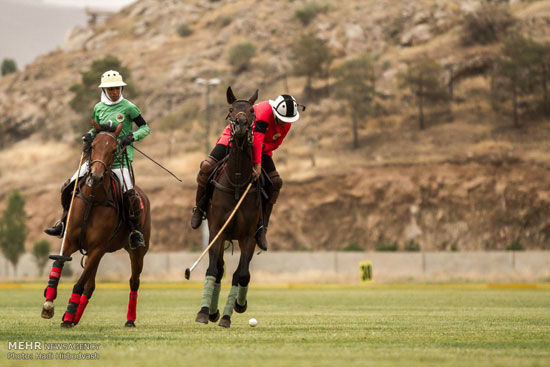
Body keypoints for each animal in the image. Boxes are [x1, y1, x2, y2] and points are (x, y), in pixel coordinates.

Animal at [41, 122, 152, 330]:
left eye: (114, 150)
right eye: (92, 146)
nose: (95, 177)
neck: (93, 199)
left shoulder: (96, 248)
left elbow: (78, 283)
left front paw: (66, 318)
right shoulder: (70, 241)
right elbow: (58, 264)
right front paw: (49, 304)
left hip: (136, 251)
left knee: (134, 281)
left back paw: (129, 320)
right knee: (90, 285)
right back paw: (75, 318)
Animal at [195, 87, 262, 330]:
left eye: (251, 111)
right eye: (231, 109)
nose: (241, 124)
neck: (237, 183)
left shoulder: (248, 237)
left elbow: (241, 274)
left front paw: (230, 313)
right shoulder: (217, 231)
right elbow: (214, 270)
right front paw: (205, 312)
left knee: (241, 272)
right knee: (219, 268)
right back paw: (211, 311)